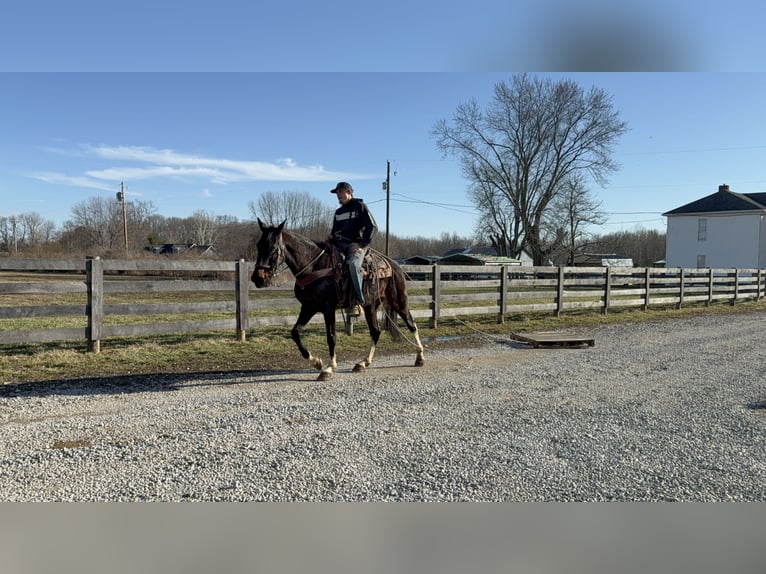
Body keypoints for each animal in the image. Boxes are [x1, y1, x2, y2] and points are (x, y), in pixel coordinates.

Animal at [252, 218, 426, 380]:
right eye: (258, 245)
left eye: (273, 248)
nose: (257, 278)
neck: (315, 265)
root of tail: (393, 264)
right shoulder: (308, 307)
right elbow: (295, 332)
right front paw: (316, 362)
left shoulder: (328, 308)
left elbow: (331, 337)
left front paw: (329, 368)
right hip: (371, 306)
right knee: (376, 331)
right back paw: (363, 363)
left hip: (398, 301)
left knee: (411, 325)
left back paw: (420, 357)